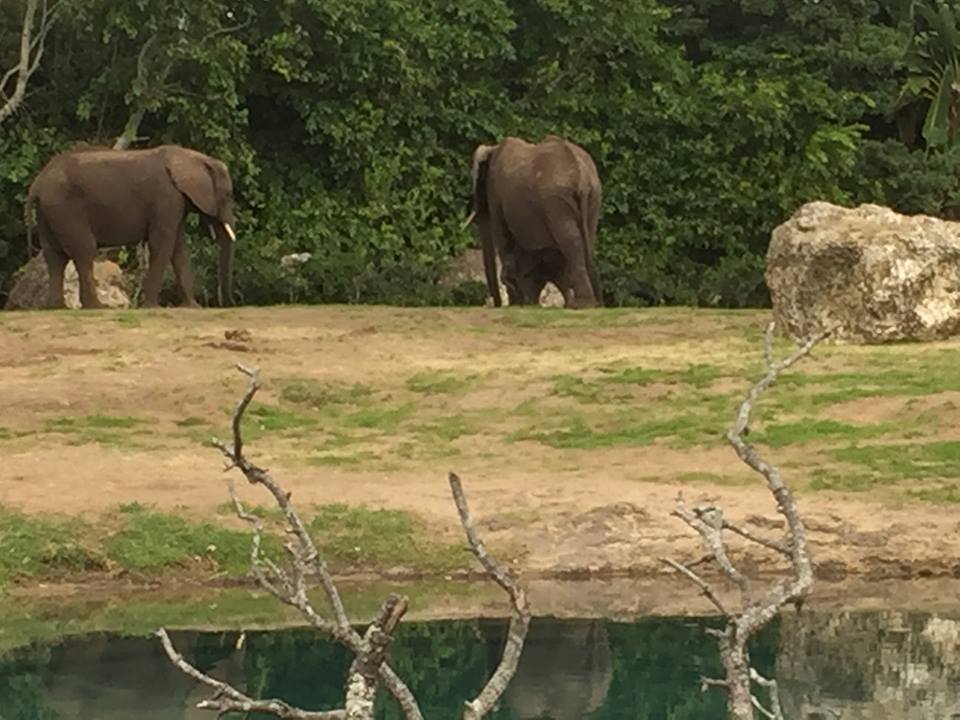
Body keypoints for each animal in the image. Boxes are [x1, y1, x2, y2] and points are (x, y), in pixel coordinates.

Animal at [25, 143, 237, 309]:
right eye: (228, 195)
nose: (229, 303)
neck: (193, 156)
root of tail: (37, 184)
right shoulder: (166, 198)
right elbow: (162, 245)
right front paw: (152, 307)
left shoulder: (176, 202)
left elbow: (179, 248)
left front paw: (192, 307)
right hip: (66, 209)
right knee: (84, 251)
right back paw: (97, 307)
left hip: (48, 212)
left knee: (55, 257)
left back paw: (57, 307)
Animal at [462, 134, 602, 309]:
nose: (498, 304)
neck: (492, 148)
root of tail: (581, 176)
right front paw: (525, 301)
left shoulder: (495, 194)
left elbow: (502, 235)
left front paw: (518, 302)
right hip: (593, 197)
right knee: (586, 238)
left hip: (555, 201)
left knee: (571, 241)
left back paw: (579, 305)